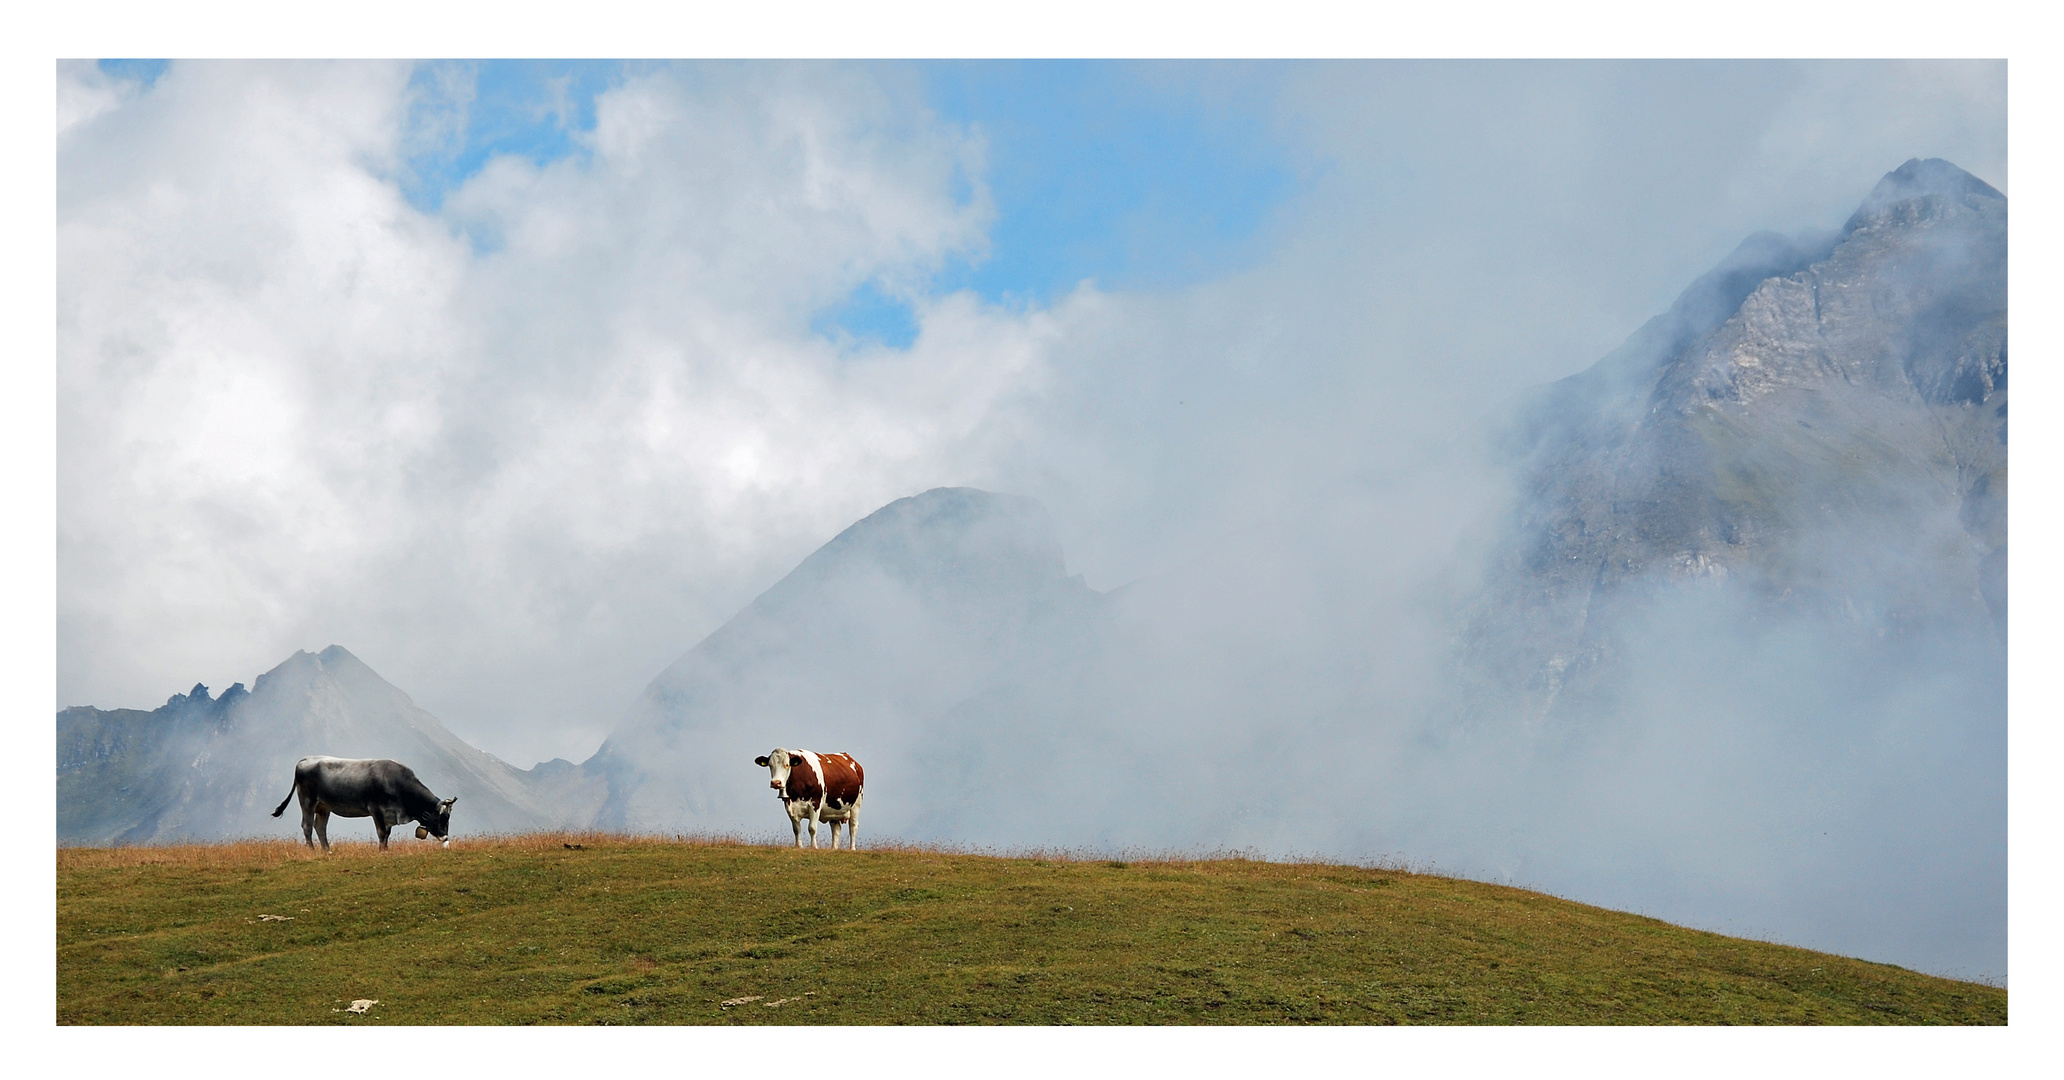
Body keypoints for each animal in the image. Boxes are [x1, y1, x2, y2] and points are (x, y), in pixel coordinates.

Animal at [270, 759, 456, 854]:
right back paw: (312, 850)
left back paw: (327, 850)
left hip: (324, 807)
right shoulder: (376, 809)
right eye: (442, 817)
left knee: (320, 827)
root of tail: (306, 760)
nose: (445, 837)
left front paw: (386, 849)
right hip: (307, 802)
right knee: (307, 826)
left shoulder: (389, 814)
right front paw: (382, 851)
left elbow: (387, 833)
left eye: (448, 818)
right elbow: (382, 832)